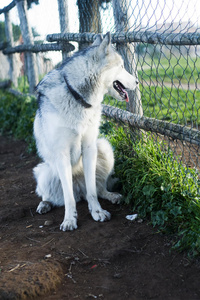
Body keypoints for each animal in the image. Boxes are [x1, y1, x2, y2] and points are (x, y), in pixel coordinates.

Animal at [34, 32, 138, 230]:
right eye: (121, 66)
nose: (137, 81)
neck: (77, 96)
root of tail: (79, 190)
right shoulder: (62, 154)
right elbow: (68, 198)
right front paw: (69, 220)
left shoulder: (90, 147)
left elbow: (92, 191)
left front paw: (97, 211)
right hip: (44, 172)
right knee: (52, 195)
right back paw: (44, 204)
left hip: (104, 147)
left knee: (98, 188)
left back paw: (111, 196)